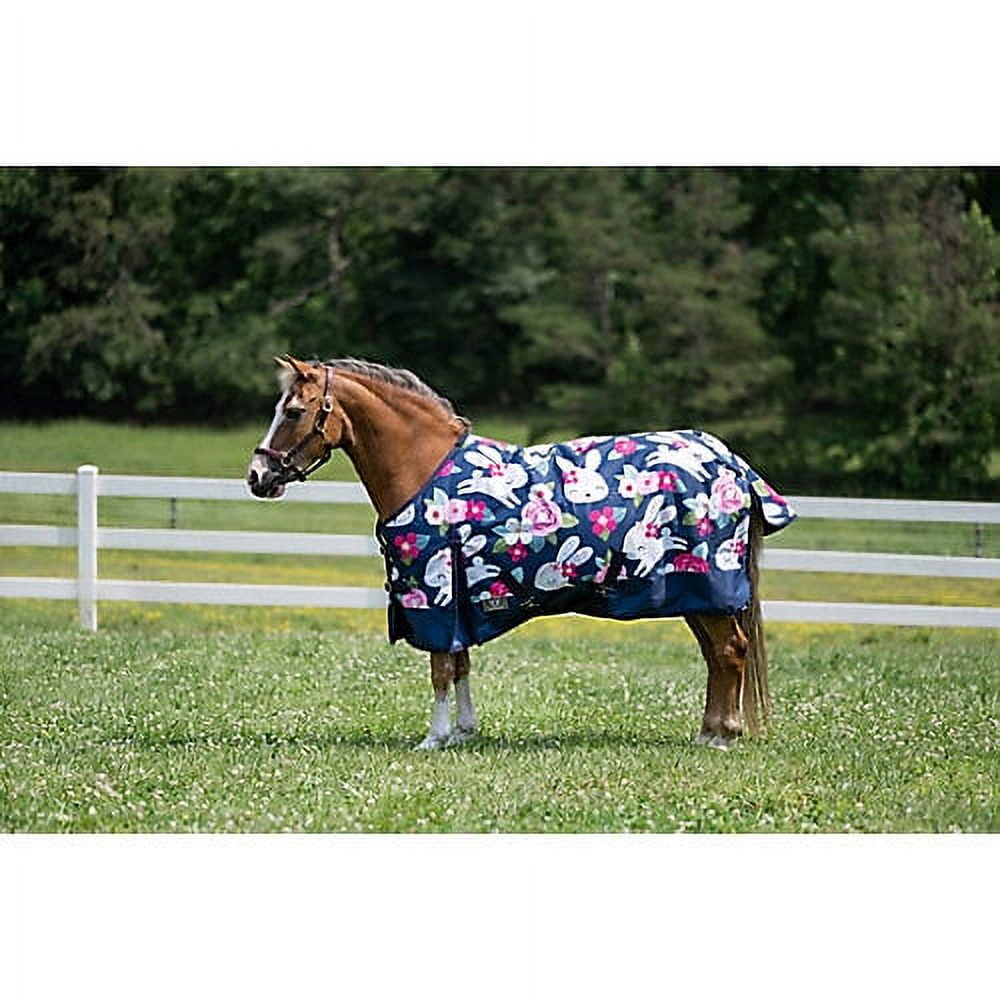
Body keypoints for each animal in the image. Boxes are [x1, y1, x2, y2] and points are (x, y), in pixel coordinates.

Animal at [247, 356, 796, 750]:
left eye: (292, 412)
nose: (257, 477)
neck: (424, 467)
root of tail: (729, 460)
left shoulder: (436, 597)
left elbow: (441, 668)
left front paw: (433, 738)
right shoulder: (460, 597)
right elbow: (461, 664)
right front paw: (463, 732)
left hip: (708, 588)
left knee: (730, 651)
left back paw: (722, 738)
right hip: (695, 597)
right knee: (718, 656)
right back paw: (708, 732)